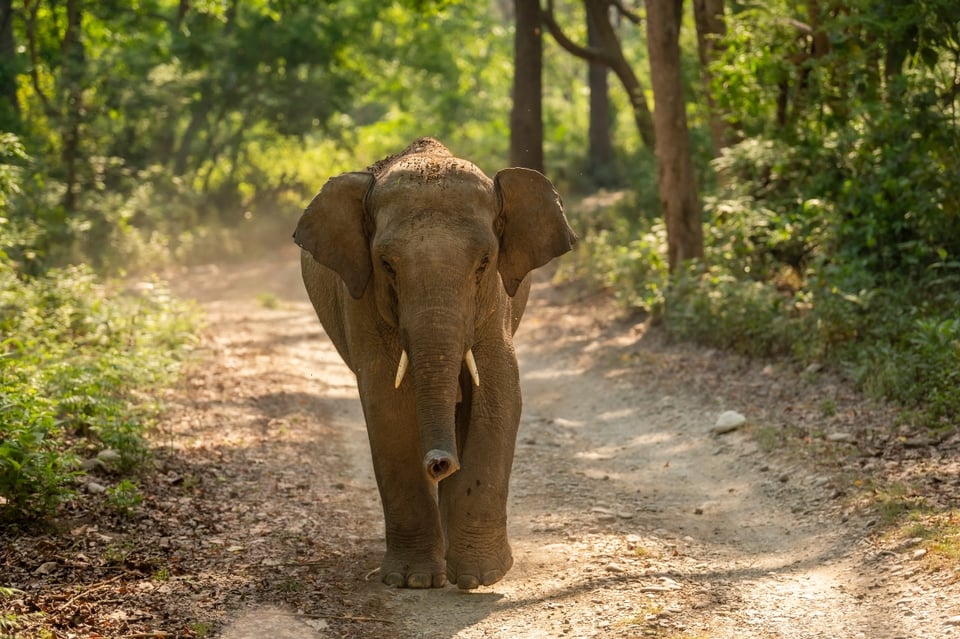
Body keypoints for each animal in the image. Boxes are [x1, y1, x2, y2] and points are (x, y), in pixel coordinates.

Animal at [293, 137, 576, 590]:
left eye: (484, 262)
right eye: (386, 265)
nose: (440, 463)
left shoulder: (496, 301)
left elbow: (498, 393)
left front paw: (481, 577)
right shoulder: (362, 299)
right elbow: (387, 406)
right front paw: (413, 581)